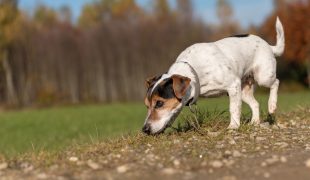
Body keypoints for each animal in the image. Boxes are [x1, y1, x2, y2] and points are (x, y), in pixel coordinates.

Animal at [142, 17, 284, 135]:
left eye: (159, 103)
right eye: (146, 106)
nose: (145, 130)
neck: (195, 71)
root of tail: (268, 46)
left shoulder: (233, 85)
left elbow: (234, 109)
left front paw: (233, 126)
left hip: (263, 77)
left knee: (276, 82)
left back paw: (272, 105)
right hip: (243, 90)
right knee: (255, 104)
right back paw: (254, 122)